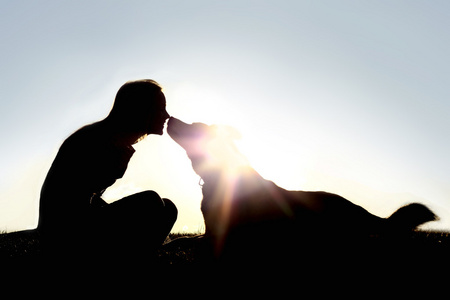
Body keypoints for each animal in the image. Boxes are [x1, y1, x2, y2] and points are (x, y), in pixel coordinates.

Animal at [167, 117, 438, 258]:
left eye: (193, 126)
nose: (170, 118)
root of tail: (360, 211)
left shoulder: (223, 239)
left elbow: (191, 243)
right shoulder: (210, 233)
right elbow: (181, 240)